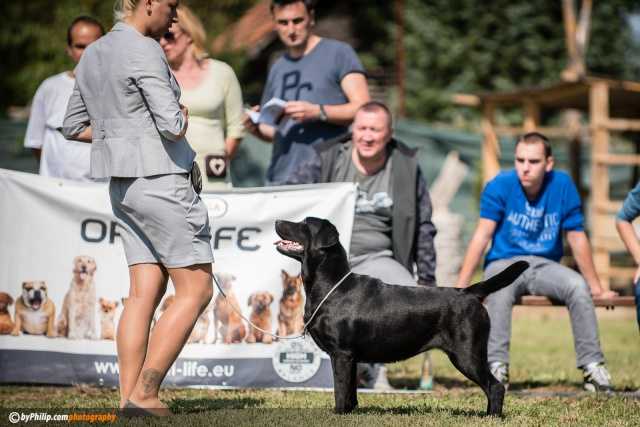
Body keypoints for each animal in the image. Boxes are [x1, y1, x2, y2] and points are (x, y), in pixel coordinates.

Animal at [276, 216, 528, 416]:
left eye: (304, 224)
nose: (277, 221)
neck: (331, 285)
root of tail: (468, 291)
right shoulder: (352, 358)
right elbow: (350, 392)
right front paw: (351, 412)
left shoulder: (341, 354)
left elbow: (340, 389)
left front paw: (338, 414)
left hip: (467, 354)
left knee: (495, 386)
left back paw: (491, 417)